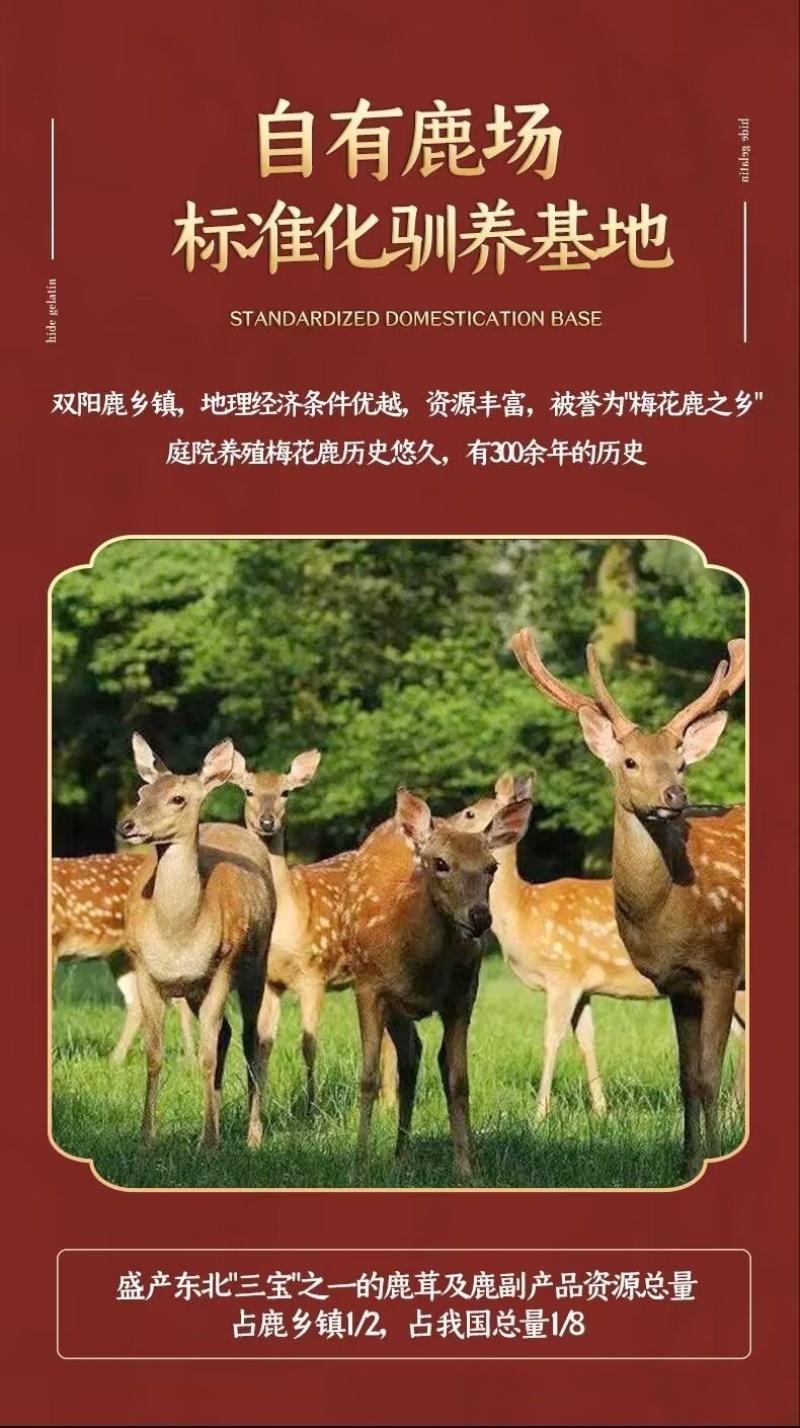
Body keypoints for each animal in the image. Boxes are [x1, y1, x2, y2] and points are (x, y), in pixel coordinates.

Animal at [118, 734, 276, 1149]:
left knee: (253, 1039)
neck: (179, 935)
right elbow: (154, 1055)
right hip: (195, 989)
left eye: (178, 798)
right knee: (226, 1034)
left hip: (256, 965)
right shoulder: (144, 968)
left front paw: (207, 1143)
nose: (127, 825)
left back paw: (252, 1136)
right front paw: (146, 1139)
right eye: (142, 792)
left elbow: (205, 1055)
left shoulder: (223, 965)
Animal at [341, 787, 532, 1183]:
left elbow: (459, 1080)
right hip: (392, 1004)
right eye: (441, 863)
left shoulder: (463, 996)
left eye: (492, 867)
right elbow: (368, 1077)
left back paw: (405, 1154)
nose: (480, 917)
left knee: (419, 1056)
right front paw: (358, 1167)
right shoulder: (368, 987)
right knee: (409, 1056)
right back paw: (397, 1155)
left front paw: (467, 1170)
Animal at [451, 773, 746, 1119]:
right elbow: (586, 1042)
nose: (436, 827)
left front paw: (539, 1114)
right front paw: (602, 1110)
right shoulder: (584, 986)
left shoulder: (563, 973)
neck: (523, 912)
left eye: (469, 813)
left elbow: (551, 1038)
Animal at [510, 629, 746, 1179]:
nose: (675, 794)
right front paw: (687, 1161)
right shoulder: (678, 982)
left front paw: (714, 1152)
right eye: (630, 761)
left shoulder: (721, 965)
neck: (665, 911)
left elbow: (708, 1072)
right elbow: (686, 1076)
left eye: (682, 762)